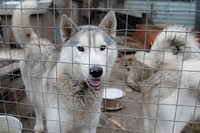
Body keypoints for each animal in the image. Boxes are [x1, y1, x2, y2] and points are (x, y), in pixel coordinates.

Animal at [12, 0, 117, 132]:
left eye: (102, 47)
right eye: (80, 48)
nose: (96, 71)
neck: (79, 89)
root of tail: (35, 40)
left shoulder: (89, 127)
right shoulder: (56, 127)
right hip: (32, 94)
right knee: (38, 110)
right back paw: (39, 126)